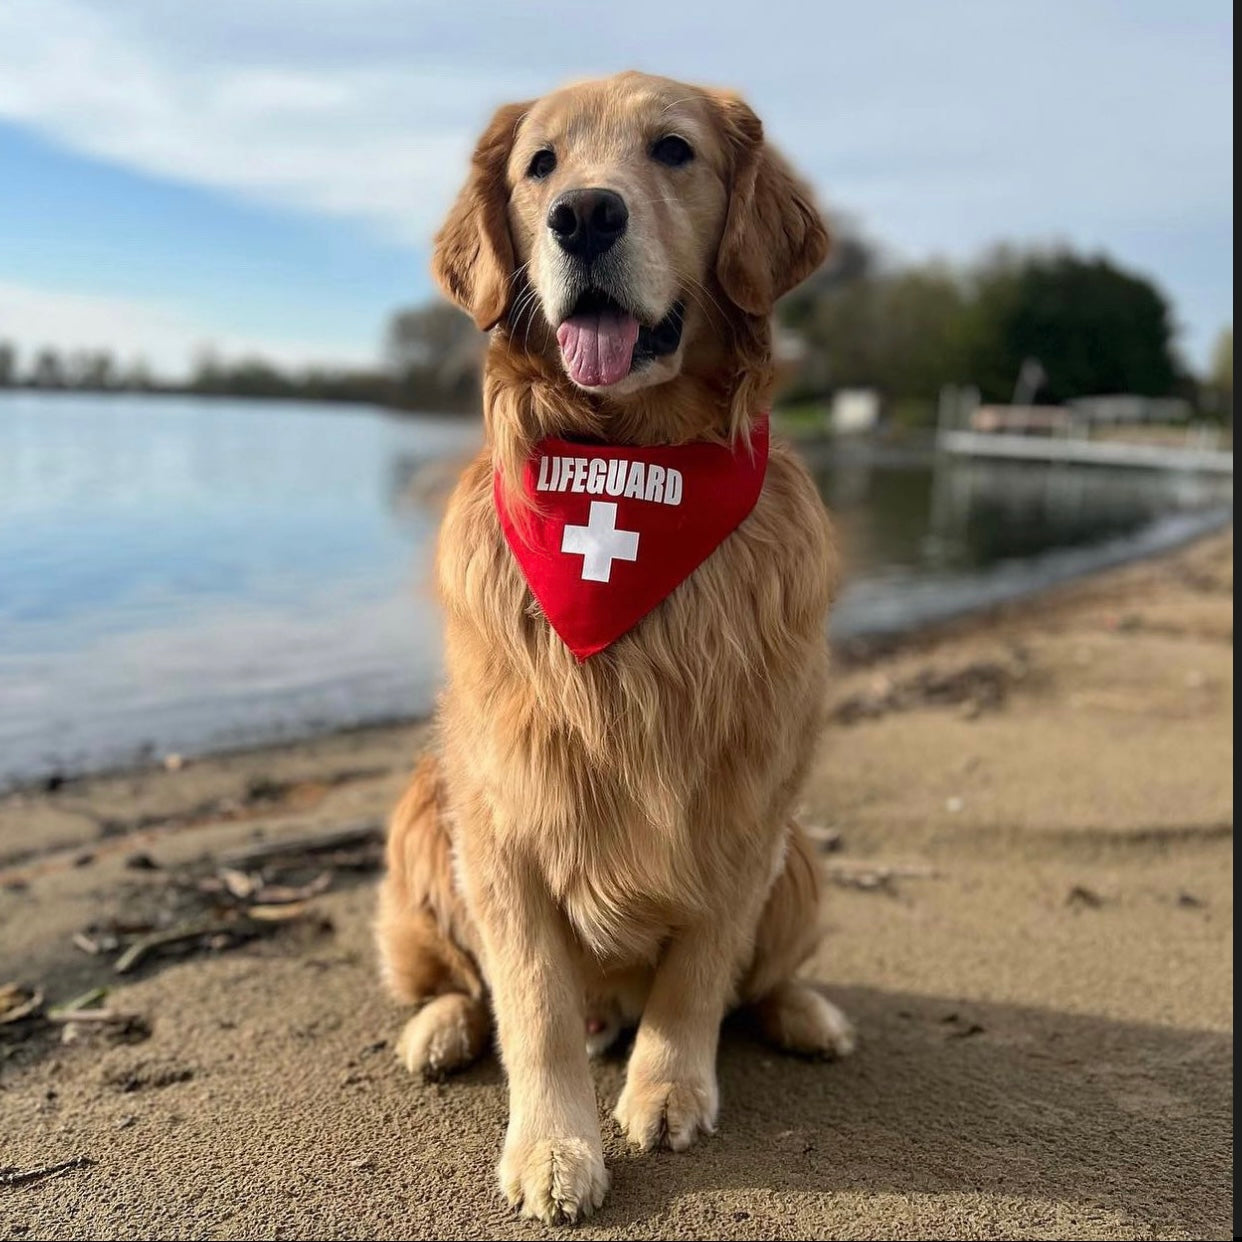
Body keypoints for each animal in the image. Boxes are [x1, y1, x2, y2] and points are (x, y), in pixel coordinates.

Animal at [367, 70, 854, 1222]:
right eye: (538, 164)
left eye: (673, 149)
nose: (583, 214)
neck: (634, 462)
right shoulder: (505, 813)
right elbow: (534, 1003)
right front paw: (554, 1146)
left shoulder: (748, 803)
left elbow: (699, 975)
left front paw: (669, 1087)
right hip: (420, 815)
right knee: (457, 980)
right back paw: (442, 1027)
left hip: (801, 860)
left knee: (760, 981)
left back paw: (806, 1014)